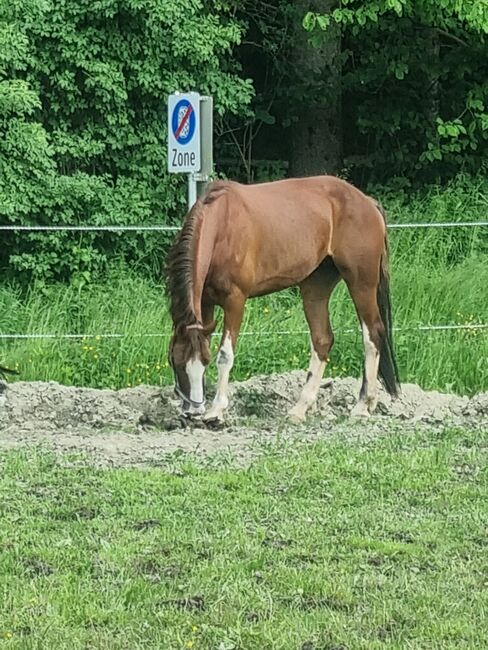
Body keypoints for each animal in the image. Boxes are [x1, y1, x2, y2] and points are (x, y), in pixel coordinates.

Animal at [166, 176, 398, 420]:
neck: (222, 226)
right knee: (322, 339)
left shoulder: (234, 301)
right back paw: (301, 407)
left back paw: (363, 405)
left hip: (361, 283)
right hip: (316, 288)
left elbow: (225, 355)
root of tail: (368, 202)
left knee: (372, 334)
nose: (192, 411)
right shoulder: (205, 303)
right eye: (175, 361)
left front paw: (217, 410)